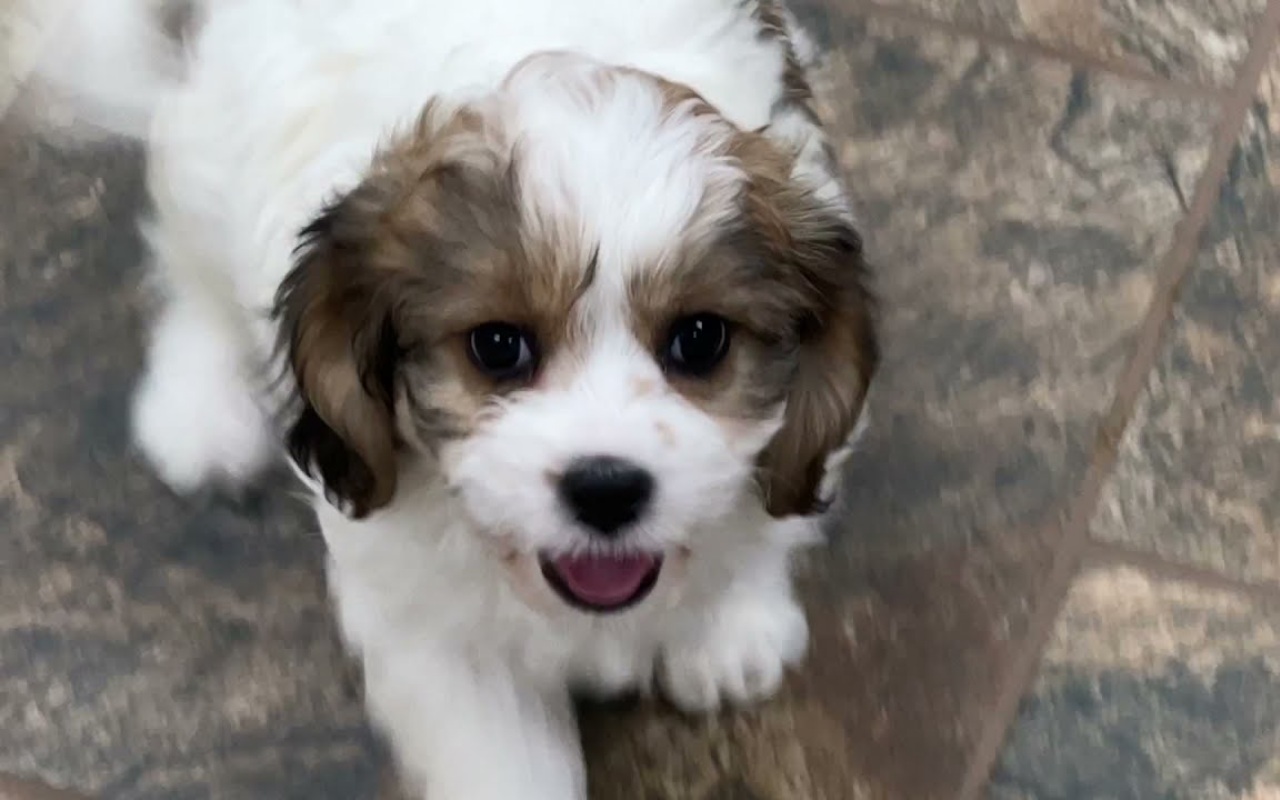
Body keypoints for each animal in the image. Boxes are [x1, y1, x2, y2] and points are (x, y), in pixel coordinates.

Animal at [30, 1, 875, 793]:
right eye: (497, 346)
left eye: (700, 340)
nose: (606, 489)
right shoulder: (430, 628)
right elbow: (505, 761)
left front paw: (729, 622)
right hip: (205, 157)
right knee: (188, 268)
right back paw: (200, 408)